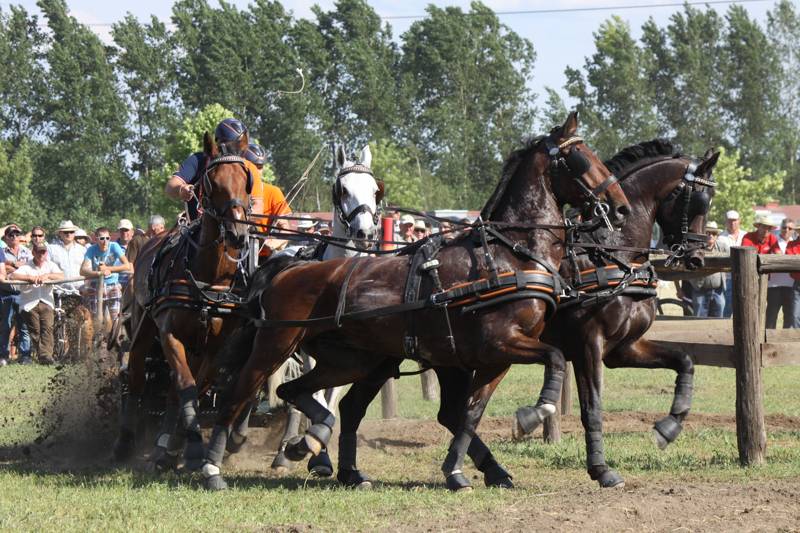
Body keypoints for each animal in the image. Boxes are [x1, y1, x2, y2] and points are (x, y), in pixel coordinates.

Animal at [112, 131, 254, 470]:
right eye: (211, 182)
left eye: (246, 181)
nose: (237, 233)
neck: (209, 276)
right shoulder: (169, 334)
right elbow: (184, 384)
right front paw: (189, 449)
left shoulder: (214, 347)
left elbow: (192, 389)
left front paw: (178, 444)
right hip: (142, 328)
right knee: (135, 377)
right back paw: (125, 443)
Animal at [200, 112, 632, 491]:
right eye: (581, 158)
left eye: (376, 190)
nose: (621, 206)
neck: (508, 255)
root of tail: (288, 268)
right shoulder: (500, 342)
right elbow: (554, 359)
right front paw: (530, 416)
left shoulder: (494, 356)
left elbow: (470, 414)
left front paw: (459, 471)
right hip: (275, 346)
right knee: (239, 395)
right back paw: (212, 467)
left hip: (351, 360)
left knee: (308, 396)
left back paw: (320, 450)